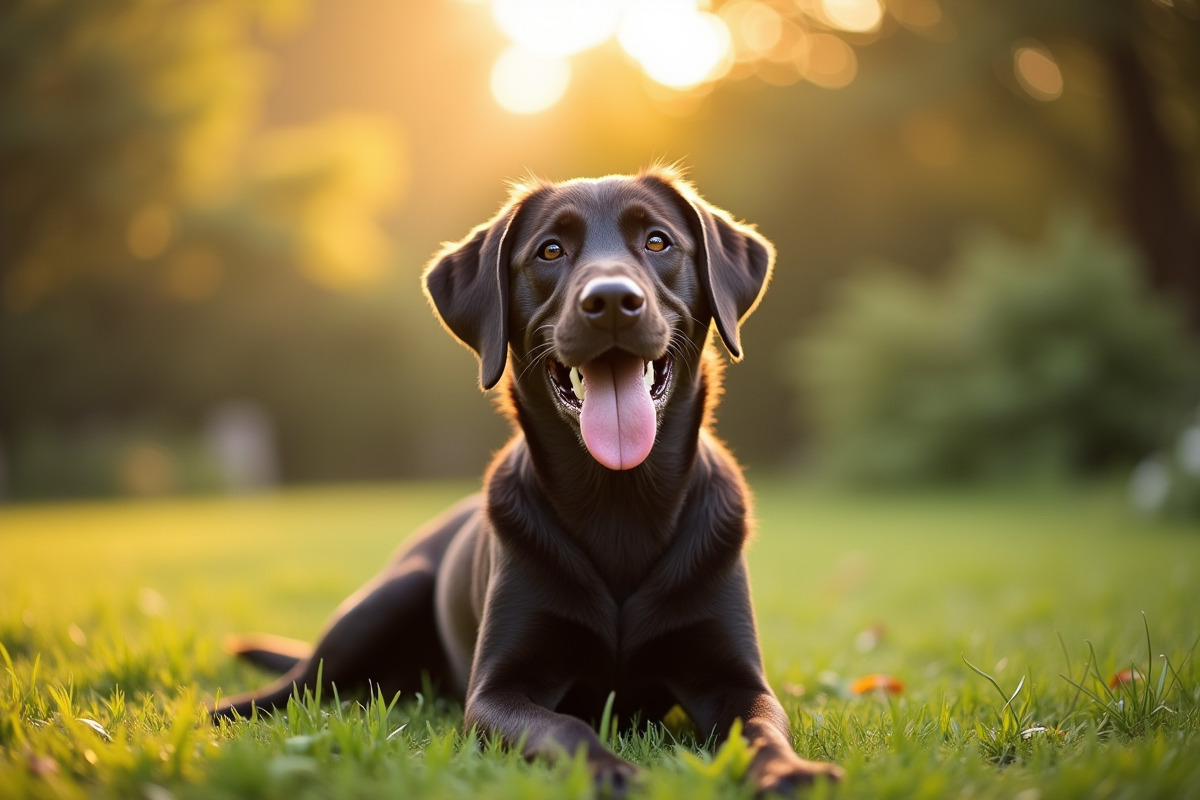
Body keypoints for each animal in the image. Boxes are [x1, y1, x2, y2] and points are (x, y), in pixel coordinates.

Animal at [211, 167, 844, 796]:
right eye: (550, 250)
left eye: (658, 241)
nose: (611, 301)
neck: (620, 503)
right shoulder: (497, 690)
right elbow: (564, 727)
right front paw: (611, 770)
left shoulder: (736, 678)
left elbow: (762, 727)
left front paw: (791, 772)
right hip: (389, 598)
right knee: (301, 684)